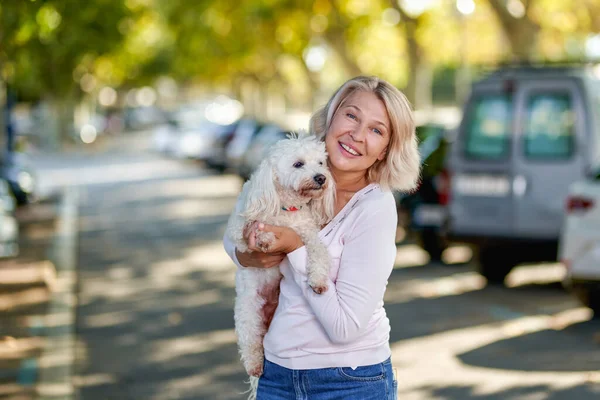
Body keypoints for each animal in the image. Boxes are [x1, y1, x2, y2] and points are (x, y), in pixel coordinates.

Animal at [226, 132, 336, 390]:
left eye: (321, 163)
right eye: (298, 164)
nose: (321, 178)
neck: (287, 207)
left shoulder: (306, 232)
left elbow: (319, 251)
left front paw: (318, 280)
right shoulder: (238, 228)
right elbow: (250, 230)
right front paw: (265, 236)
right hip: (247, 313)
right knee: (250, 343)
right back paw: (255, 365)